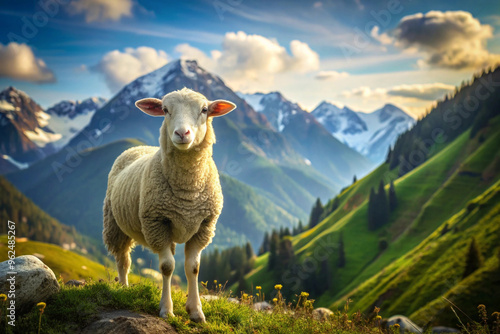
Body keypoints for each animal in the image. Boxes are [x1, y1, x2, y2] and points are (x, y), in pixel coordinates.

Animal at [101, 87, 236, 322]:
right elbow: (166, 267)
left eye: (204, 109)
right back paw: (124, 288)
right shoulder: (156, 223)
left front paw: (196, 311)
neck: (188, 191)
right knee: (123, 260)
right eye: (165, 109)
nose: (182, 134)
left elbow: (193, 268)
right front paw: (166, 309)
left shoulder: (203, 227)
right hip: (115, 225)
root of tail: (139, 147)